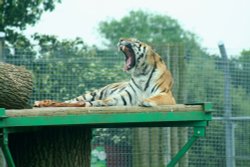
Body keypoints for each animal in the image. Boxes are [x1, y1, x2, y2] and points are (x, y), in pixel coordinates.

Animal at [33, 38, 176, 107]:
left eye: (135, 41)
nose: (120, 39)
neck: (140, 72)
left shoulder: (166, 94)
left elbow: (156, 97)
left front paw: (146, 101)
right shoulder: (127, 96)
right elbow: (111, 99)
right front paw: (100, 102)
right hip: (92, 93)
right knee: (70, 101)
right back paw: (42, 102)